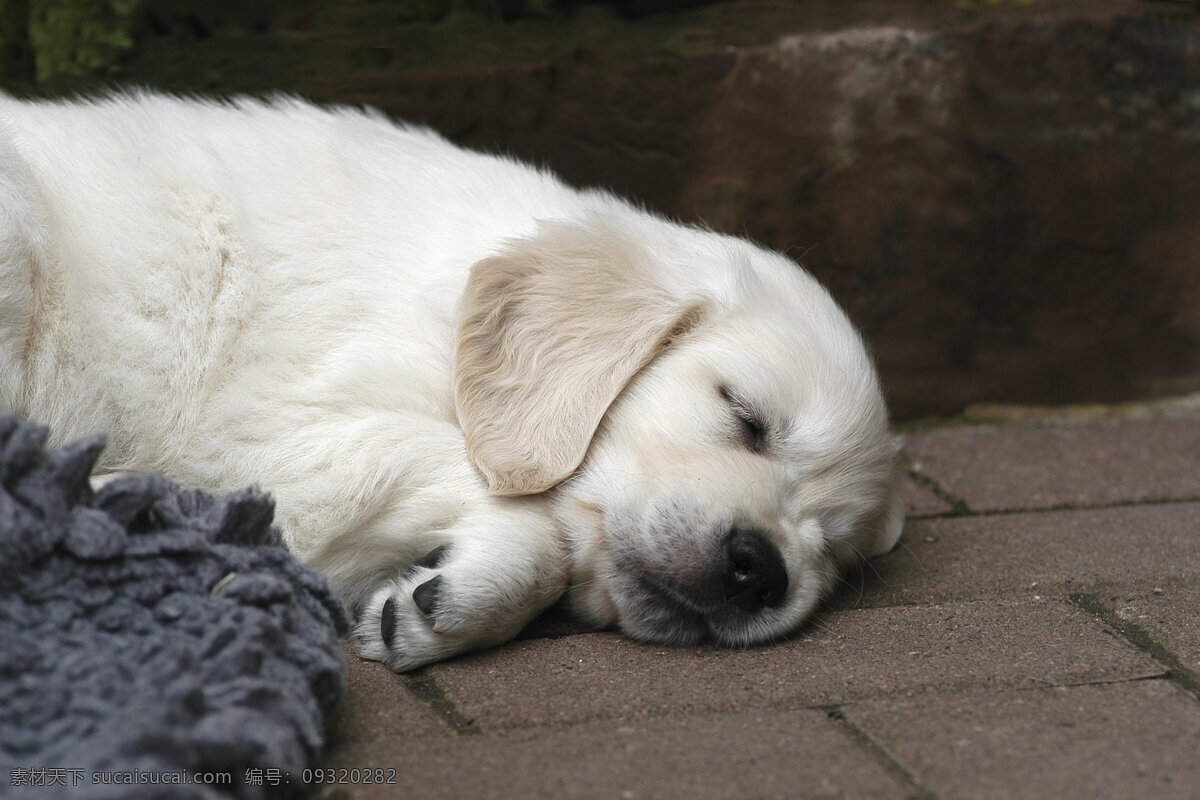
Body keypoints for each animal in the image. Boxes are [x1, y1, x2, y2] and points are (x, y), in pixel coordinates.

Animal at [0, 92, 902, 671]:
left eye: (833, 551)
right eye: (744, 417)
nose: (763, 569)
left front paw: (441, 603)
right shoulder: (270, 427)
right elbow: (533, 513)